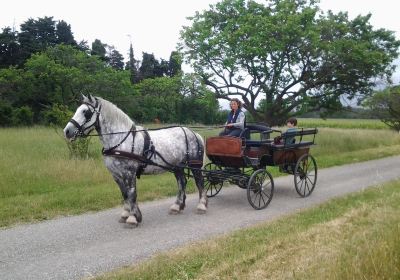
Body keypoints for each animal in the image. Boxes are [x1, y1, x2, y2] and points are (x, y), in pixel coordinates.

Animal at [64, 95, 208, 226]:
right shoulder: (116, 175)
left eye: (86, 112)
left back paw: (201, 205)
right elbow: (125, 194)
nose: (67, 131)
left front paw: (133, 218)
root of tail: (194, 133)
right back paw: (177, 206)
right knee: (181, 183)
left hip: (195, 165)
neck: (121, 140)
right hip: (177, 166)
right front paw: (126, 214)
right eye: (78, 109)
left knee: (199, 182)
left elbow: (132, 193)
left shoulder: (129, 173)